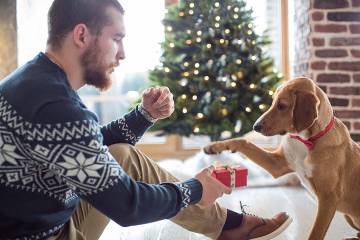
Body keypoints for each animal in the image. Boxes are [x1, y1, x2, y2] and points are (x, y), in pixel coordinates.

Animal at [204, 77, 360, 240]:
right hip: (348, 217)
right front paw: (215, 146)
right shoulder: (277, 165)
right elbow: (243, 141)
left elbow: (315, 233)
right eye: (273, 103)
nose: (255, 126)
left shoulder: (328, 198)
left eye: (282, 106)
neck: (306, 140)